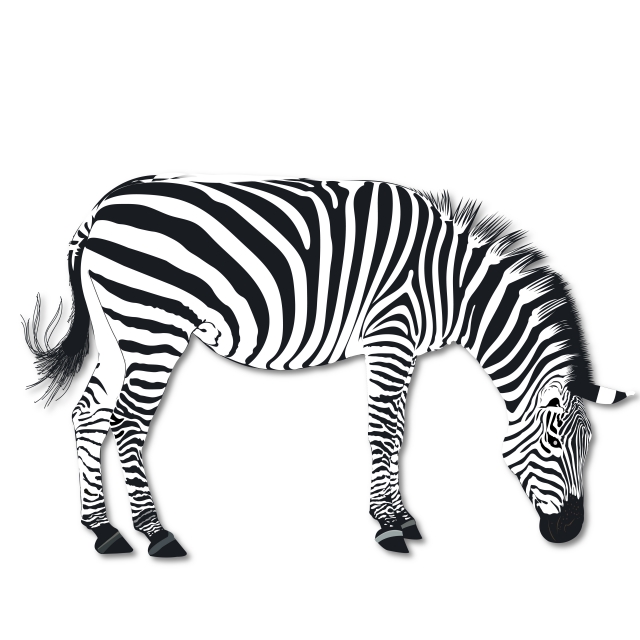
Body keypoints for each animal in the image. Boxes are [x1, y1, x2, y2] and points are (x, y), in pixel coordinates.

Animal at [23, 174, 633, 556]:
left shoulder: (401, 346)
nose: (569, 533)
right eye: (552, 445)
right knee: (127, 422)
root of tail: (101, 209)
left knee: (88, 414)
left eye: (591, 449)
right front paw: (389, 527)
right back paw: (155, 535)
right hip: (153, 325)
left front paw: (399, 518)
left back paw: (103, 531)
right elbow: (385, 430)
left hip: (118, 333)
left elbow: (396, 429)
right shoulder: (392, 332)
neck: (453, 287)